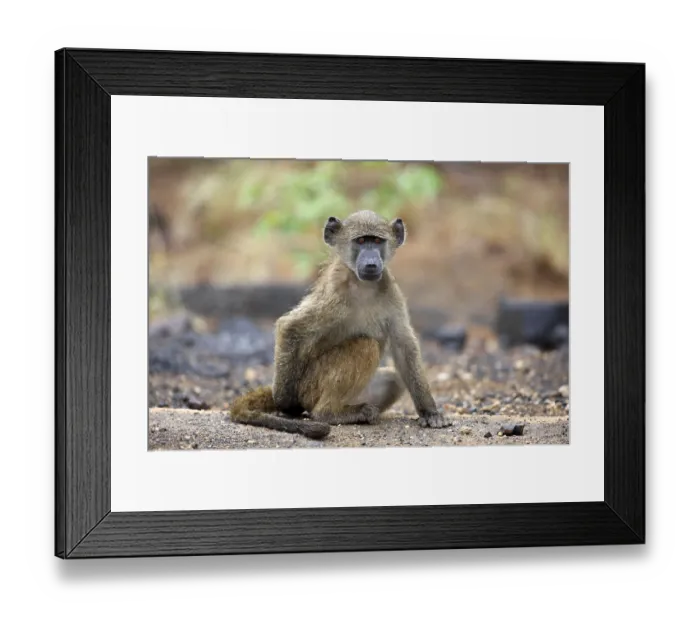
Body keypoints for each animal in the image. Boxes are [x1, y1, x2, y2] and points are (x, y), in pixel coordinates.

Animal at [229, 210, 451, 439]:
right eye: (361, 241)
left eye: (377, 241)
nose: (371, 263)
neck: (363, 286)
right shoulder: (333, 295)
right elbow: (290, 327)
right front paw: (285, 404)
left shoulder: (390, 291)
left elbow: (403, 345)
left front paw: (430, 412)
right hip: (310, 388)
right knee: (364, 345)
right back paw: (329, 413)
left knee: (392, 378)